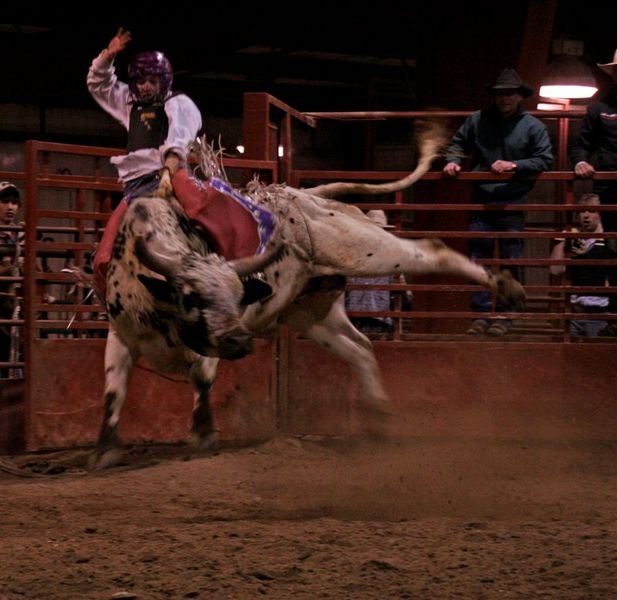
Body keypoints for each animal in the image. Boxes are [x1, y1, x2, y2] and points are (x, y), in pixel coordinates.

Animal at [92, 120, 524, 468]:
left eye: (236, 296)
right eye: (191, 297)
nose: (238, 339)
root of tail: (309, 194)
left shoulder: (211, 342)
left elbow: (201, 376)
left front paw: (203, 433)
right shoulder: (122, 336)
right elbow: (113, 390)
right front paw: (105, 450)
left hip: (362, 247)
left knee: (431, 252)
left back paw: (507, 287)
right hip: (312, 312)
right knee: (359, 347)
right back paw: (380, 421)